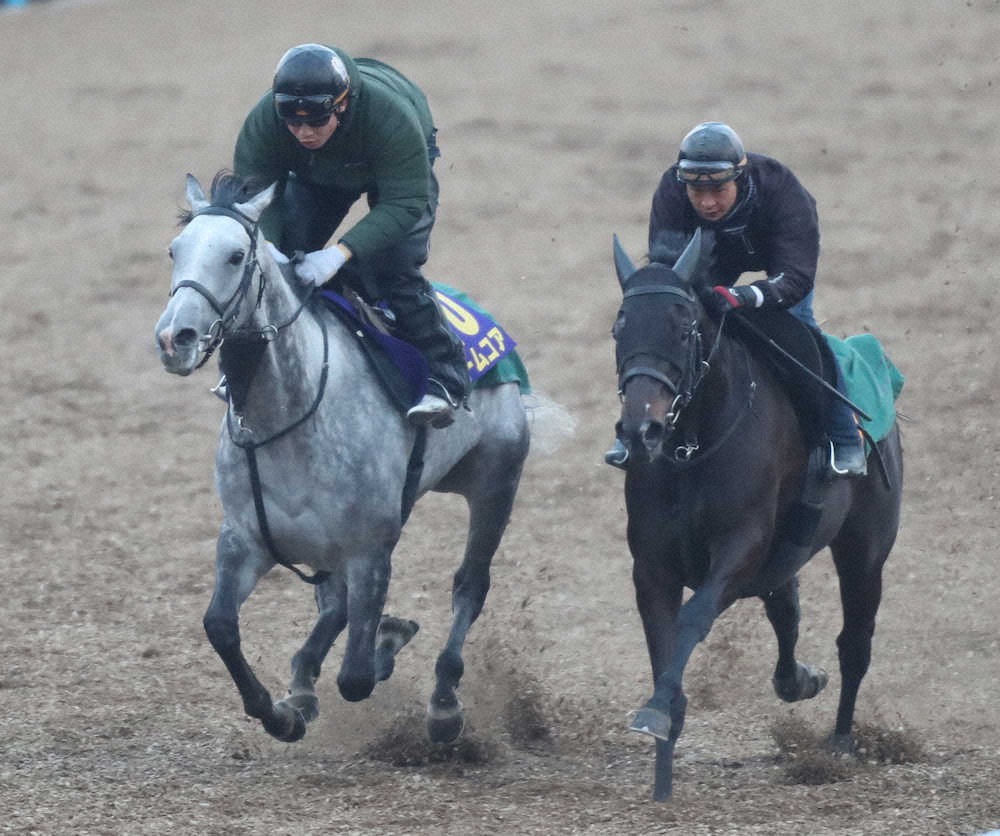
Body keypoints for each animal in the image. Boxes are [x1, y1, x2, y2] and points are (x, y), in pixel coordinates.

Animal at [154, 171, 556, 744]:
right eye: (174, 251)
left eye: (234, 255)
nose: (175, 339)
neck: (286, 420)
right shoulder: (244, 539)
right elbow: (221, 627)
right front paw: (282, 712)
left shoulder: (370, 549)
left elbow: (358, 676)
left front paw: (386, 645)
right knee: (334, 605)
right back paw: (308, 683)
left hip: (496, 481)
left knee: (469, 586)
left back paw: (443, 702)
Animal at [608, 227, 908, 796]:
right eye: (619, 328)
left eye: (683, 329)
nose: (641, 430)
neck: (693, 449)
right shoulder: (652, 565)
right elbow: (662, 640)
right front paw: (662, 766)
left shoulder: (739, 549)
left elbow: (692, 618)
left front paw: (658, 713)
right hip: (785, 557)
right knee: (786, 612)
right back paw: (800, 680)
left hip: (865, 551)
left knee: (855, 643)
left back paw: (840, 743)